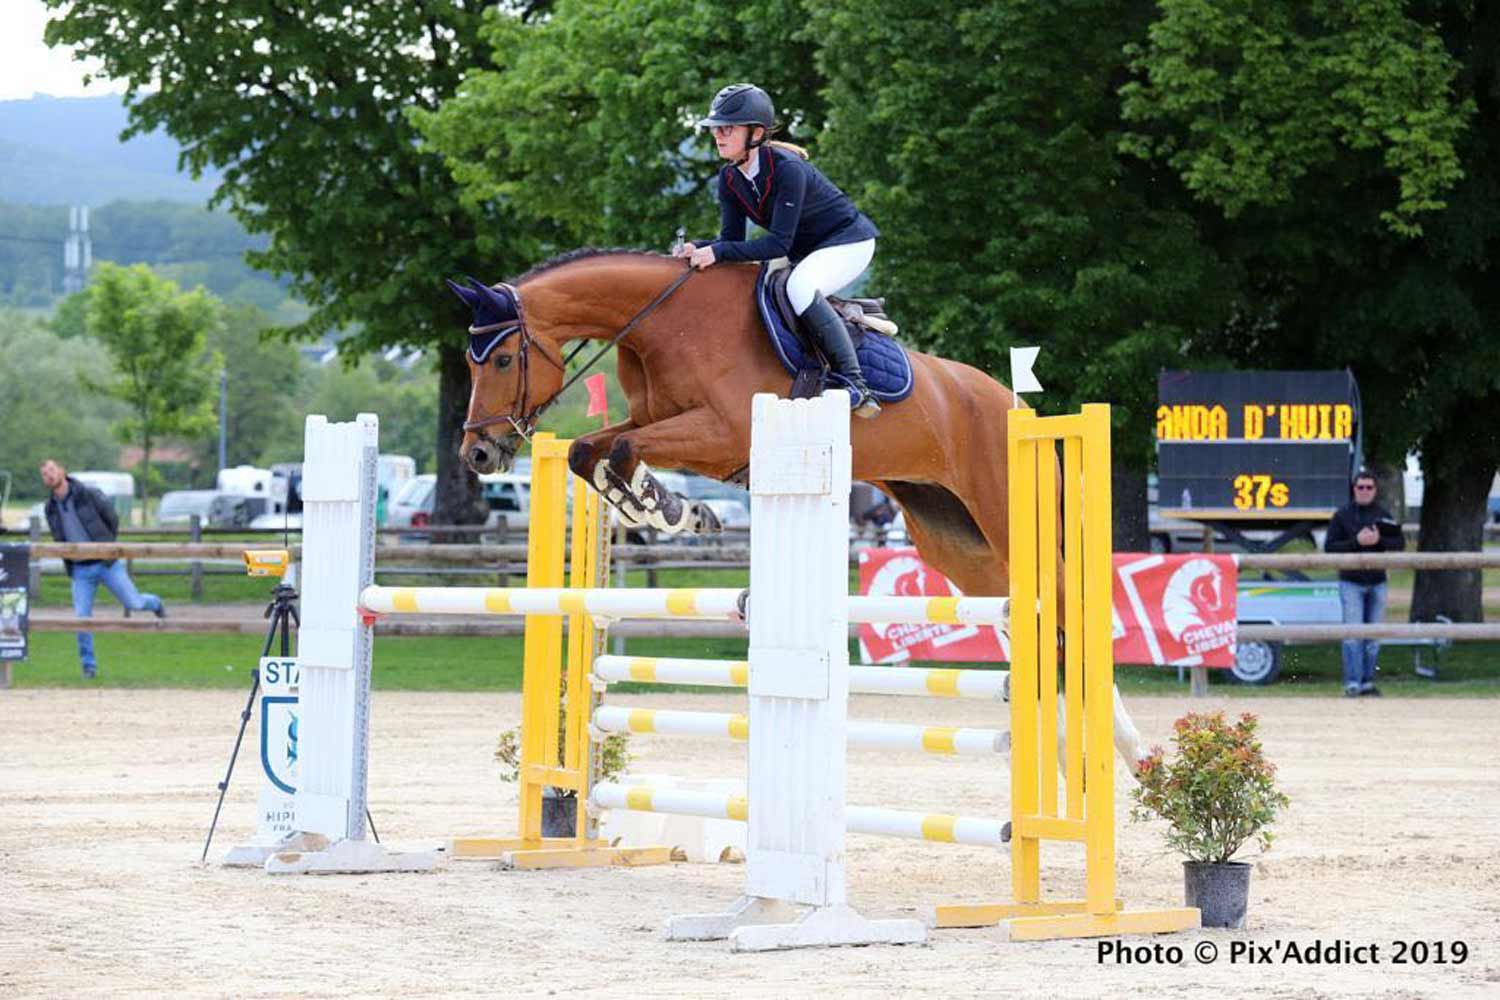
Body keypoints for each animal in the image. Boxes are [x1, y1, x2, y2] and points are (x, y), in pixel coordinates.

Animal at [444, 248, 1020, 599]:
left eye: (501, 361)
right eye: (469, 362)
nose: (477, 454)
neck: (666, 322)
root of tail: (1009, 401)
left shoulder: (723, 434)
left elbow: (626, 448)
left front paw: (669, 508)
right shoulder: (663, 423)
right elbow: (589, 450)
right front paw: (666, 509)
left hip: (998, 512)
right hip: (956, 542)